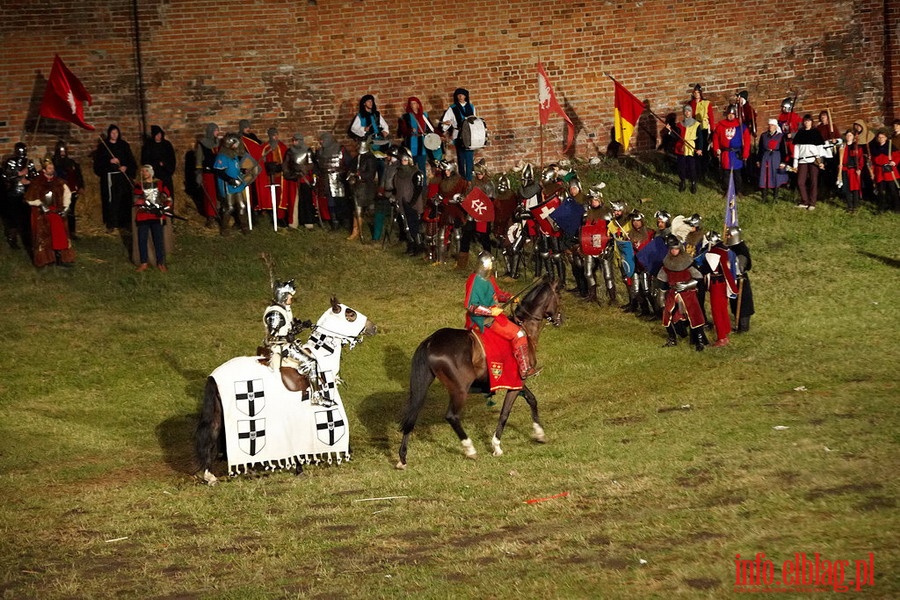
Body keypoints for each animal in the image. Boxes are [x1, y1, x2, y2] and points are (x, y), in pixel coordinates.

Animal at [396, 276, 560, 468]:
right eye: (559, 296)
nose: (561, 319)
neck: (524, 327)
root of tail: (430, 341)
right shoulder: (515, 382)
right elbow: (505, 413)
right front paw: (496, 446)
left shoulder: (517, 382)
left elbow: (532, 400)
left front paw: (539, 434)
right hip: (460, 390)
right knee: (451, 416)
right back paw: (470, 449)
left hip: (423, 384)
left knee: (412, 415)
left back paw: (402, 458)